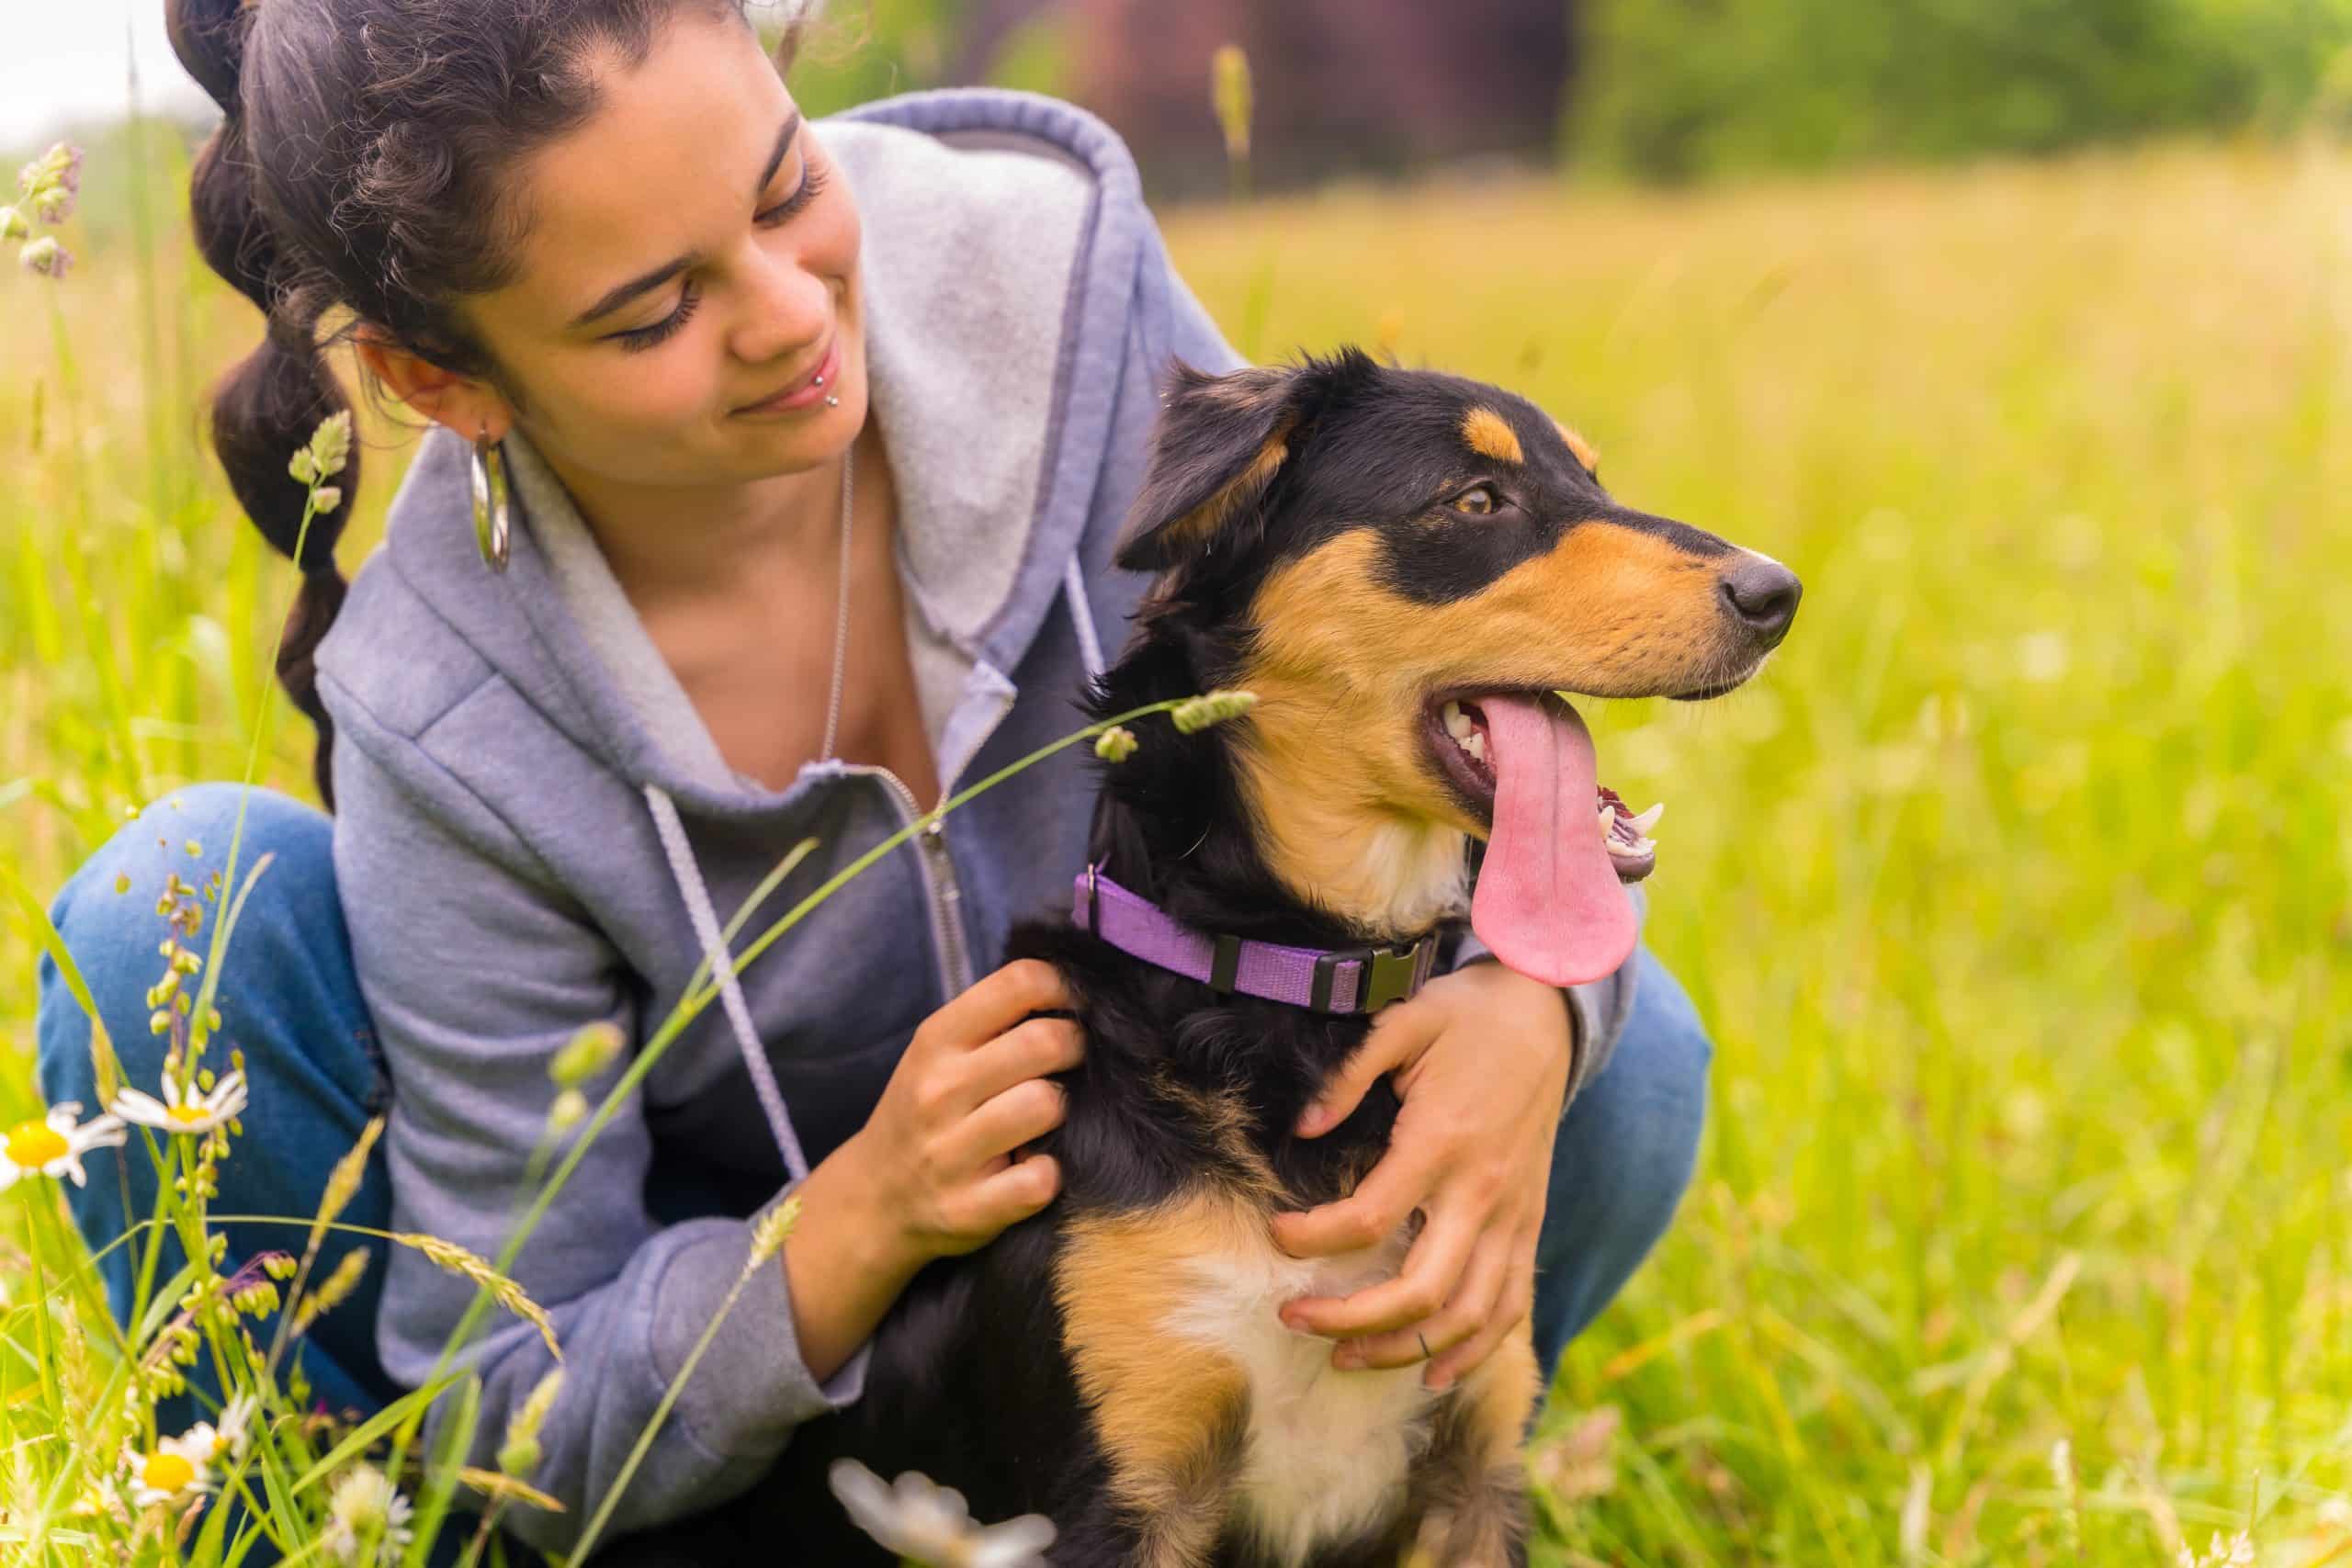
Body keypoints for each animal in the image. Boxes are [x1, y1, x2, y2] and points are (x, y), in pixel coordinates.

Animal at [682, 350, 1796, 1561]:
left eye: (1591, 481)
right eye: (1475, 501)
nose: (1775, 594)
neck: (1294, 983)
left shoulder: (1472, 1471)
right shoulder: (1121, 1492)